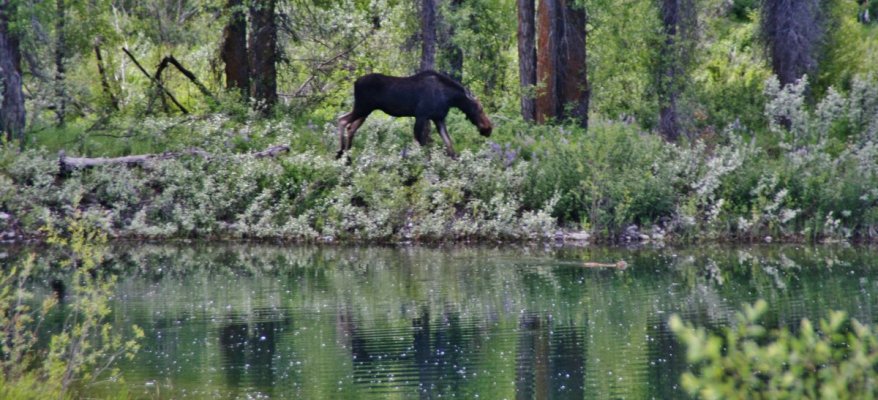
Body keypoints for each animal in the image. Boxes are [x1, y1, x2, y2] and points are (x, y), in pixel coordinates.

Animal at [336, 70, 492, 159]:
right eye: (479, 108)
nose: (489, 128)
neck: (450, 98)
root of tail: (355, 83)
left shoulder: (438, 118)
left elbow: (449, 143)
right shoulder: (422, 115)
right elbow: (420, 143)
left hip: (365, 111)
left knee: (350, 126)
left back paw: (347, 155)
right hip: (362, 107)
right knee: (342, 120)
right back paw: (340, 152)